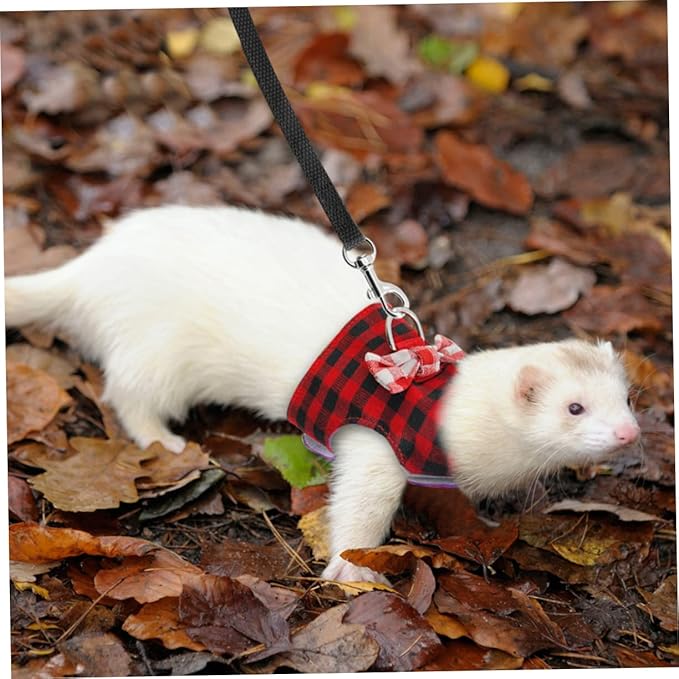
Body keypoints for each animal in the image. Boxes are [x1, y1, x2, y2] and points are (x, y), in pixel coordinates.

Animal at [4, 205, 640, 583]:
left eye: (627, 397)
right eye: (575, 406)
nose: (629, 431)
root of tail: (92, 265)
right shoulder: (373, 445)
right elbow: (357, 508)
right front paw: (353, 572)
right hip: (152, 351)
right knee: (127, 393)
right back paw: (168, 440)